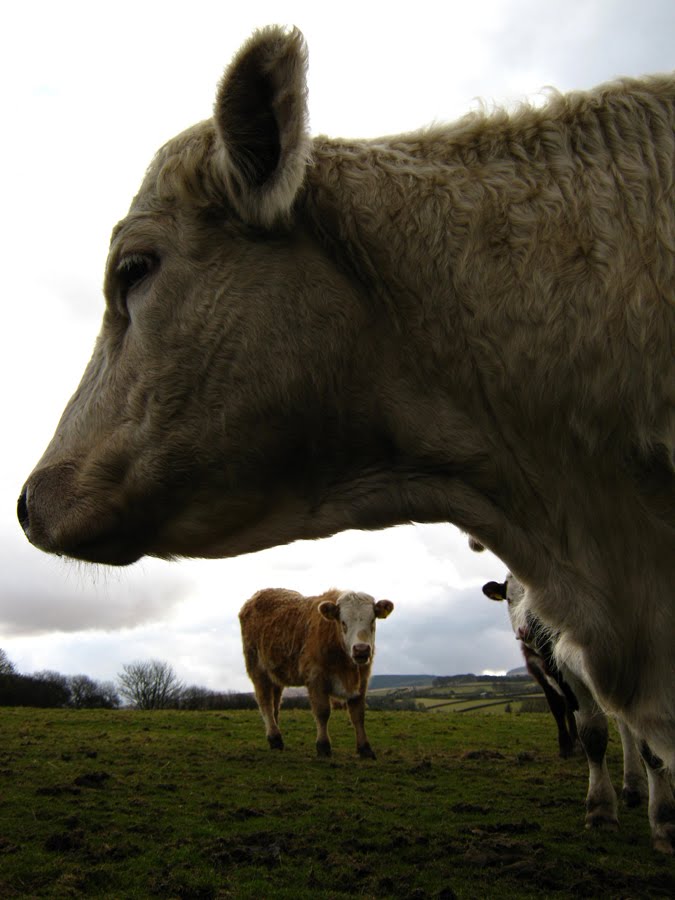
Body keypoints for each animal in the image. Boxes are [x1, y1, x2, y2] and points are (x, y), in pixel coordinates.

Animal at [239, 588, 394, 758]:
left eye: (372, 621)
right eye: (343, 622)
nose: (361, 649)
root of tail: (256, 596)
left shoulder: (362, 680)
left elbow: (358, 714)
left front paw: (365, 748)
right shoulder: (316, 678)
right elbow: (322, 712)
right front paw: (323, 746)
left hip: (275, 675)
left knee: (275, 704)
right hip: (258, 670)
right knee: (265, 702)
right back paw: (275, 738)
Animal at [484, 573, 675, 852]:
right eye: (509, 598)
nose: (527, 631)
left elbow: (651, 746)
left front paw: (664, 822)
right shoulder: (562, 666)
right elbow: (593, 736)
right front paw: (601, 811)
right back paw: (633, 786)